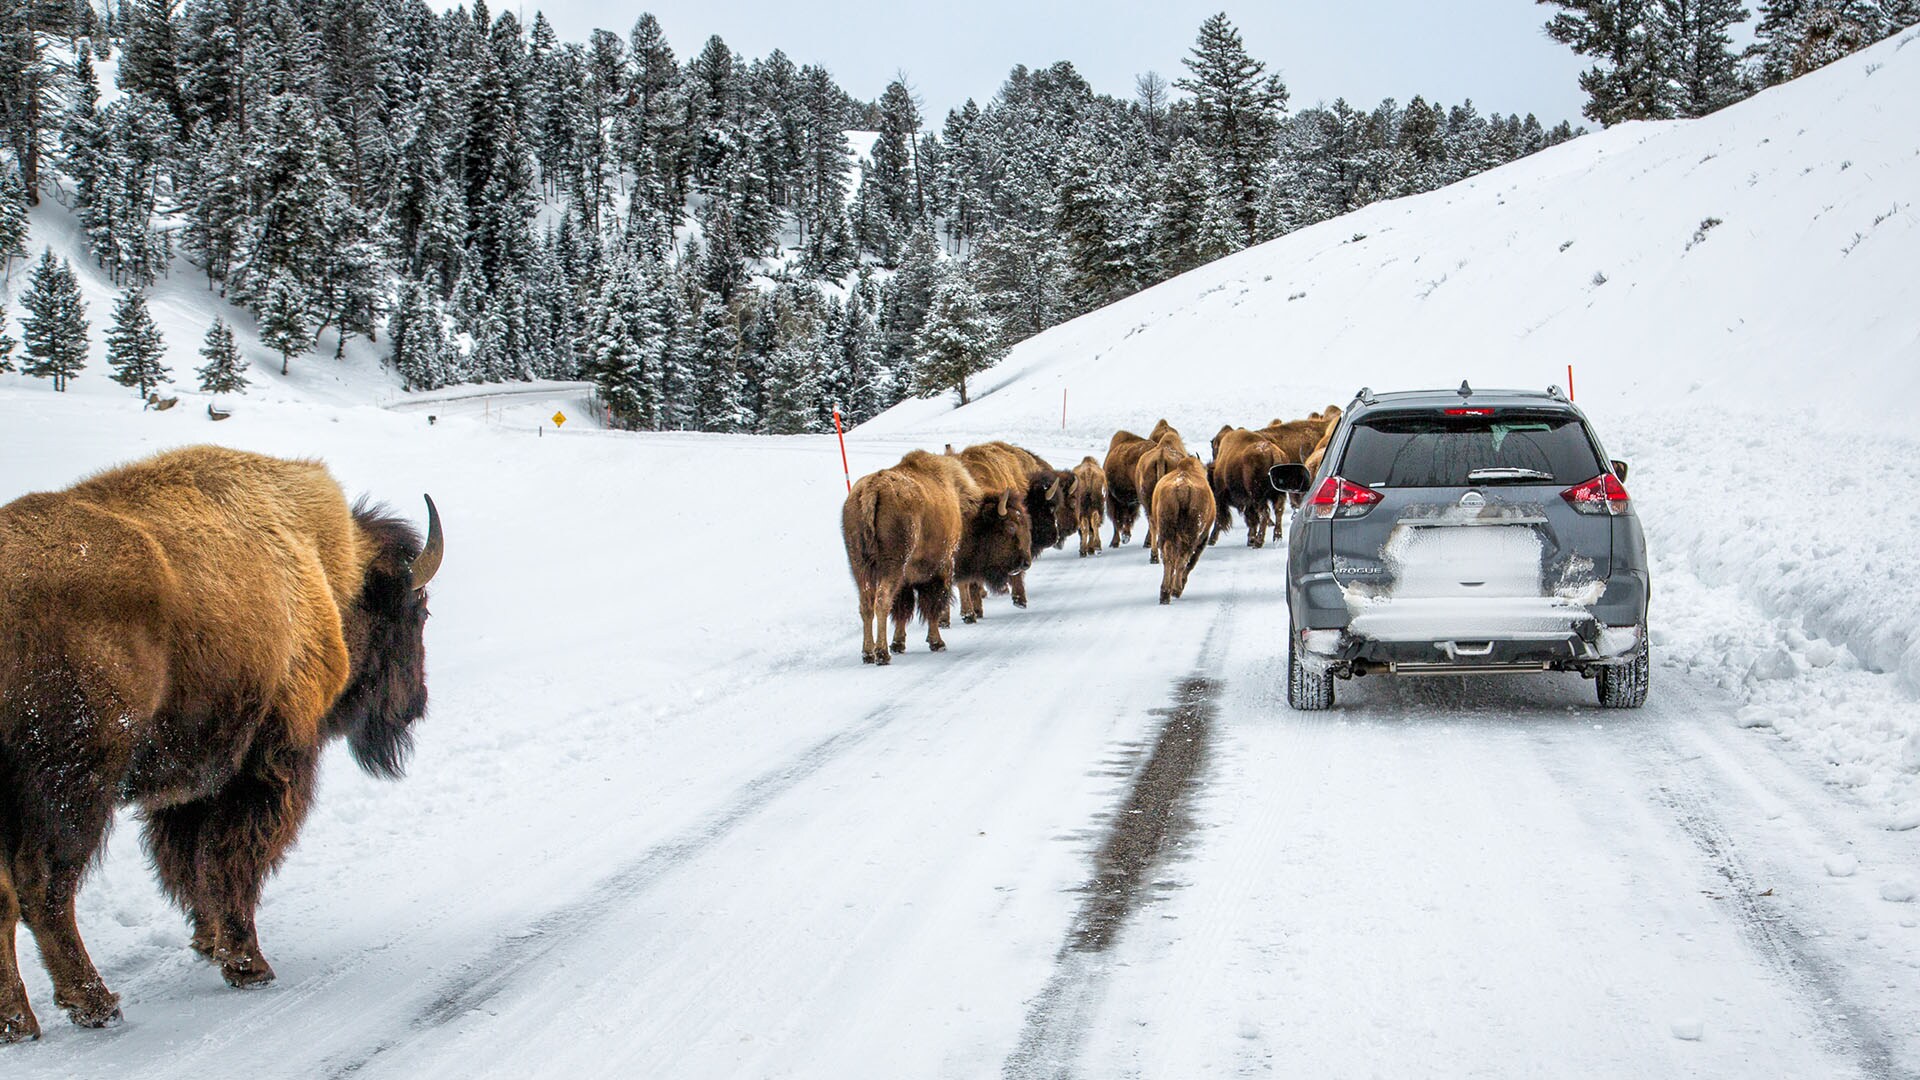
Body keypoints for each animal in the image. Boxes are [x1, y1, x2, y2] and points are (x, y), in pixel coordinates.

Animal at [0, 443, 439, 1037]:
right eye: (417, 612)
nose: (415, 705)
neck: (322, 569)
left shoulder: (192, 782)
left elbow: (190, 863)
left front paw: (208, 944)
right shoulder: (265, 766)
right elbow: (230, 860)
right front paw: (246, 964)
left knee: (6, 898)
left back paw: (19, 1021)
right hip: (76, 784)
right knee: (44, 887)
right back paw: (95, 1004)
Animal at [1152, 453, 1213, 607]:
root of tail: (1182, 487)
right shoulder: (1203, 539)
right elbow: (1191, 562)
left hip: (1166, 532)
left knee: (1169, 558)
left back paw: (1165, 594)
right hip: (1192, 536)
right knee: (1183, 559)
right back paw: (1176, 590)